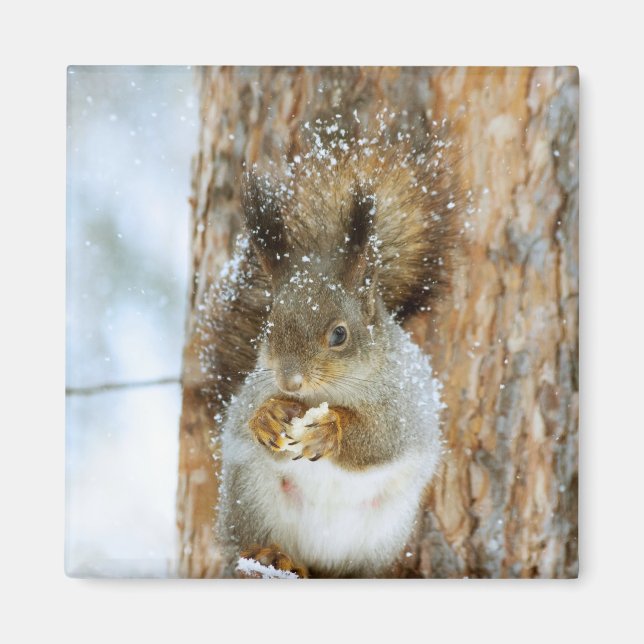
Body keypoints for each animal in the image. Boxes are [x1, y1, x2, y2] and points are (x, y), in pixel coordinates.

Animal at [199, 119, 461, 578]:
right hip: (250, 499)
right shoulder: (251, 390)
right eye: (268, 327)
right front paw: (267, 417)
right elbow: (243, 418)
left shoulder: (406, 405)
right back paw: (271, 555)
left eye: (340, 335)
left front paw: (330, 429)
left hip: (381, 533)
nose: (290, 381)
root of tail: (317, 560)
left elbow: (382, 438)